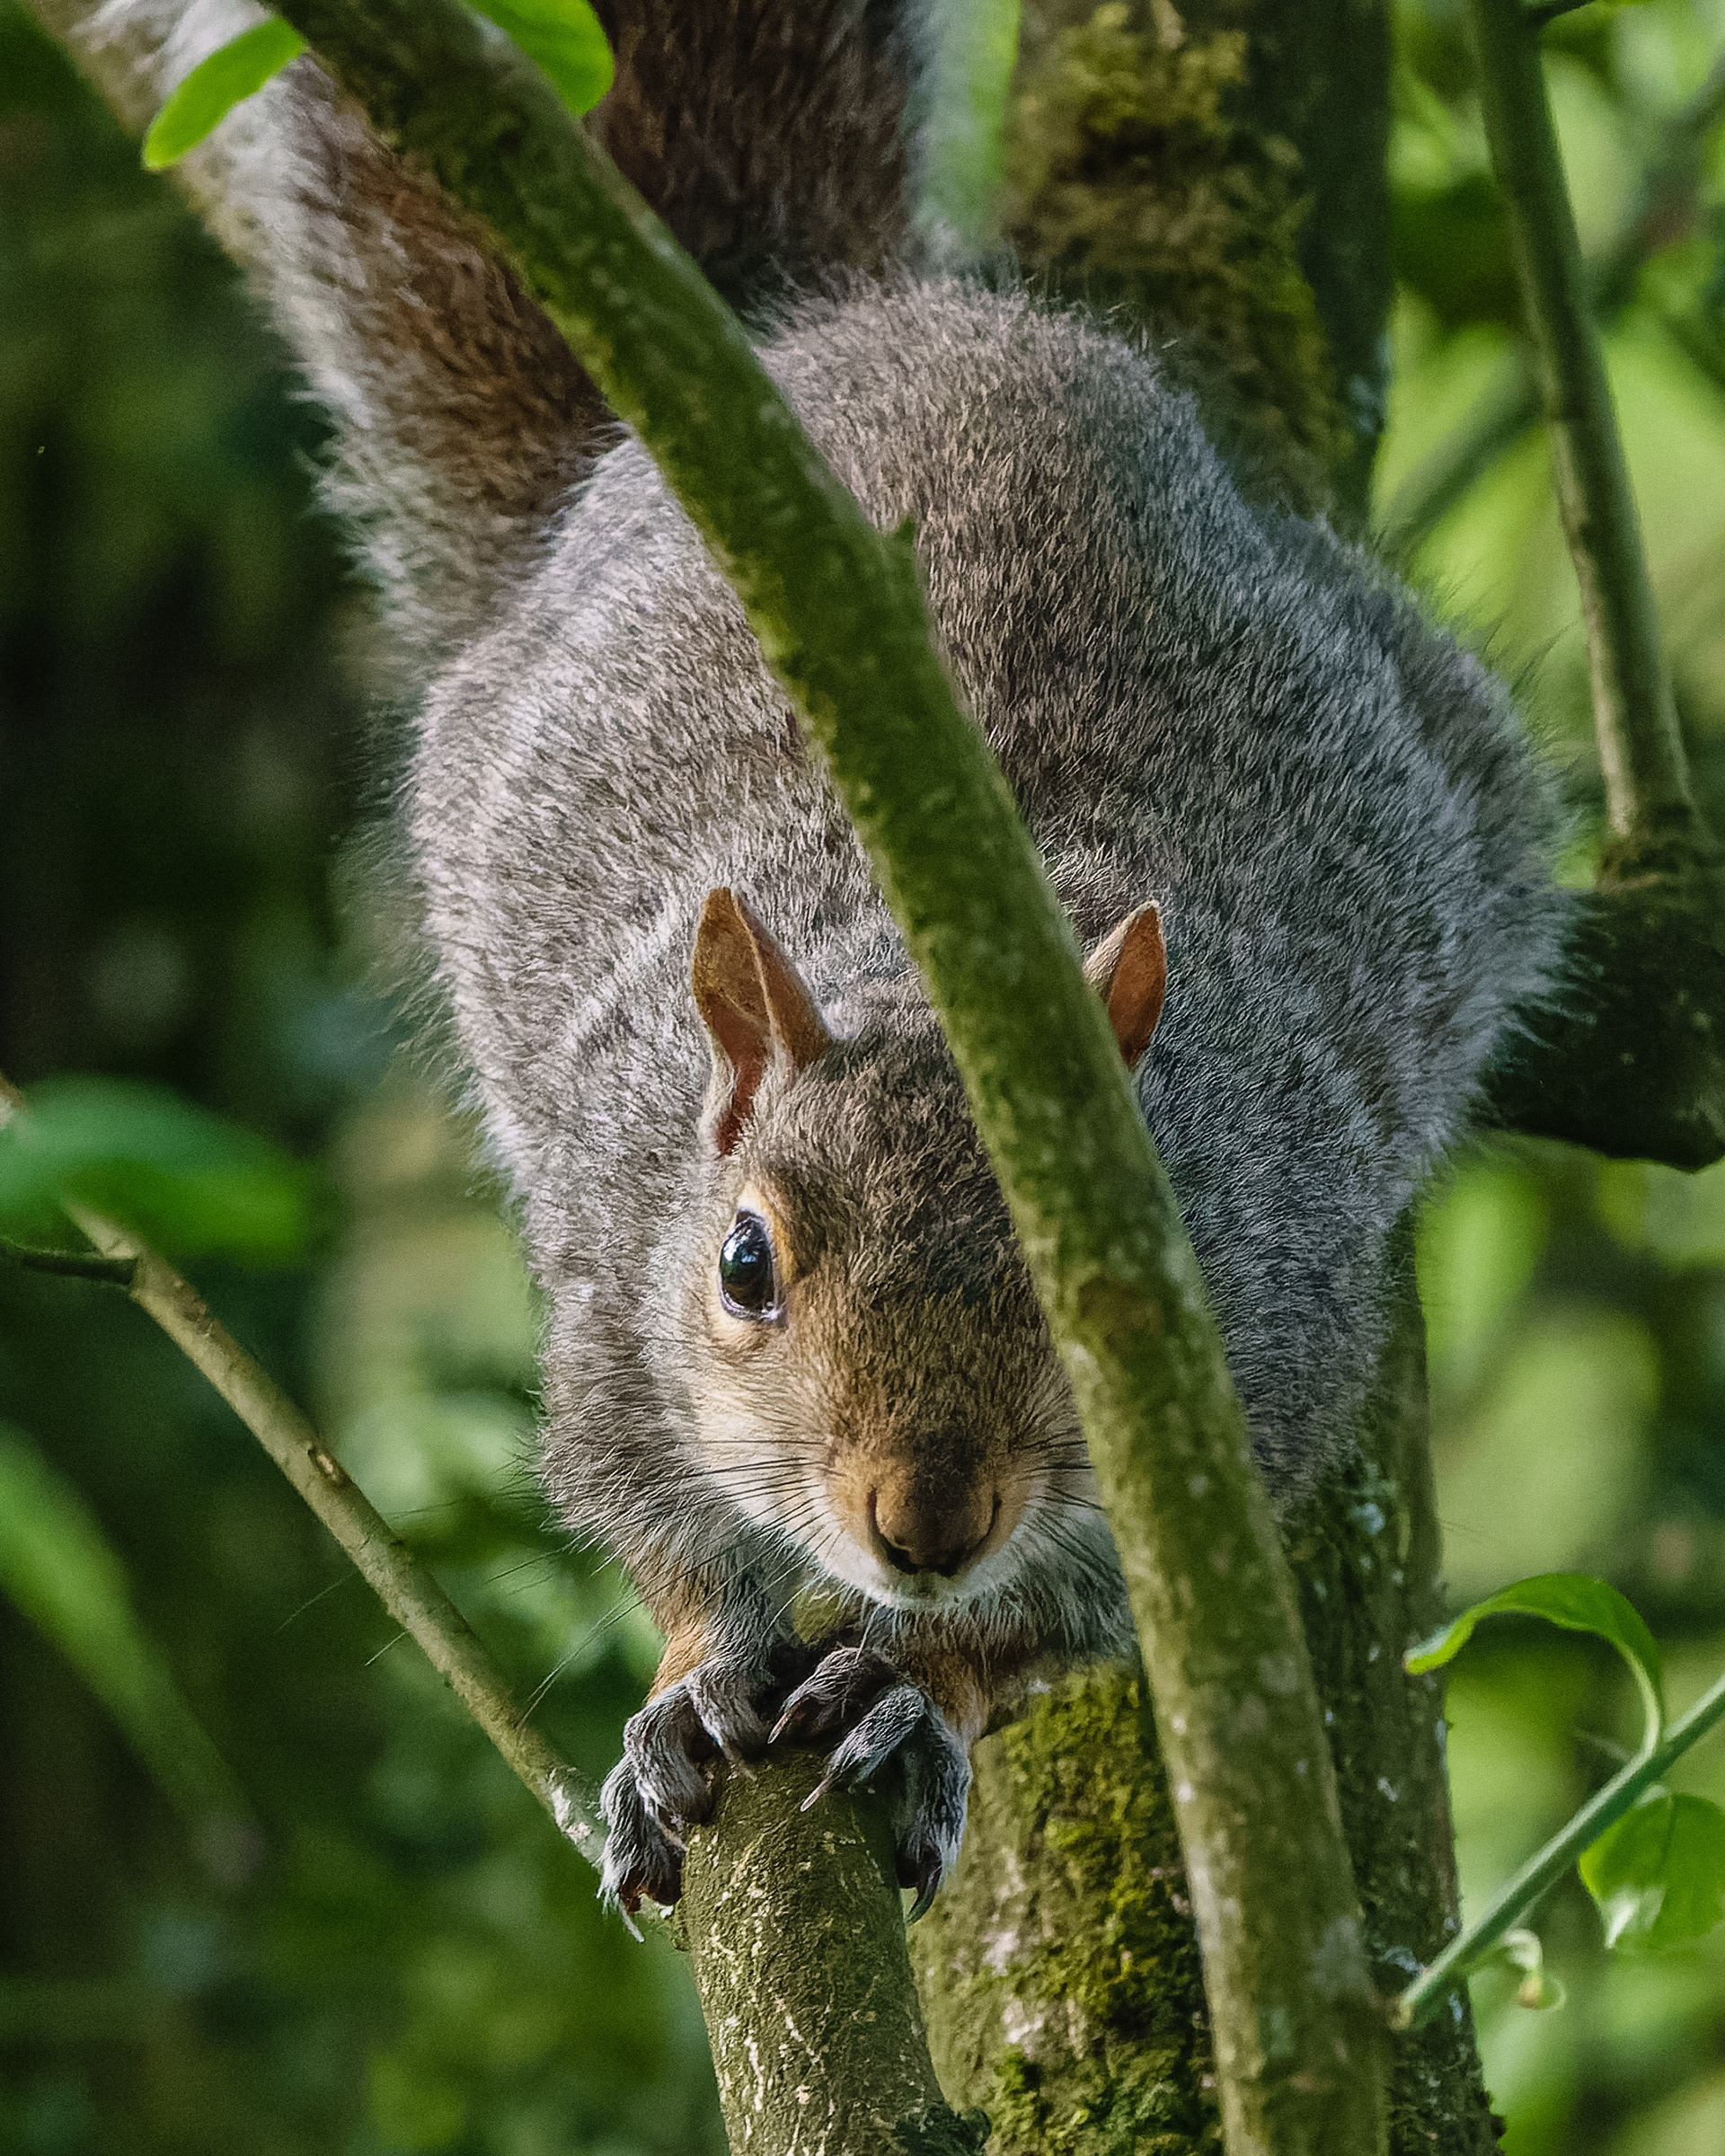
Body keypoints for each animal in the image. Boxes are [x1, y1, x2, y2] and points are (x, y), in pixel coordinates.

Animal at [40, 0, 1566, 1916]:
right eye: (743, 1265)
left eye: (1127, 1275)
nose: (927, 1522)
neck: (946, 949)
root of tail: (834, 326)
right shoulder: (613, 1298)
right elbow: (655, 1532)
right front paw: (691, 1694)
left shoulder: (1264, 1389)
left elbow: (1039, 1643)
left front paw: (918, 1696)